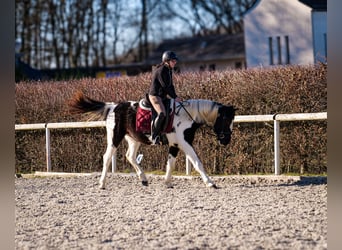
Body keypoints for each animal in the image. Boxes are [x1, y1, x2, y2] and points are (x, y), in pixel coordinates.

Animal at [68, 93, 236, 188]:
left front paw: (167, 183)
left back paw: (143, 179)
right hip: (114, 137)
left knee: (130, 156)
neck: (187, 116)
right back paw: (102, 184)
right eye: (226, 119)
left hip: (134, 139)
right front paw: (210, 183)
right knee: (107, 157)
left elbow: (170, 163)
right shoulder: (185, 143)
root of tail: (113, 107)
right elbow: (197, 162)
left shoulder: (175, 144)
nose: (226, 140)